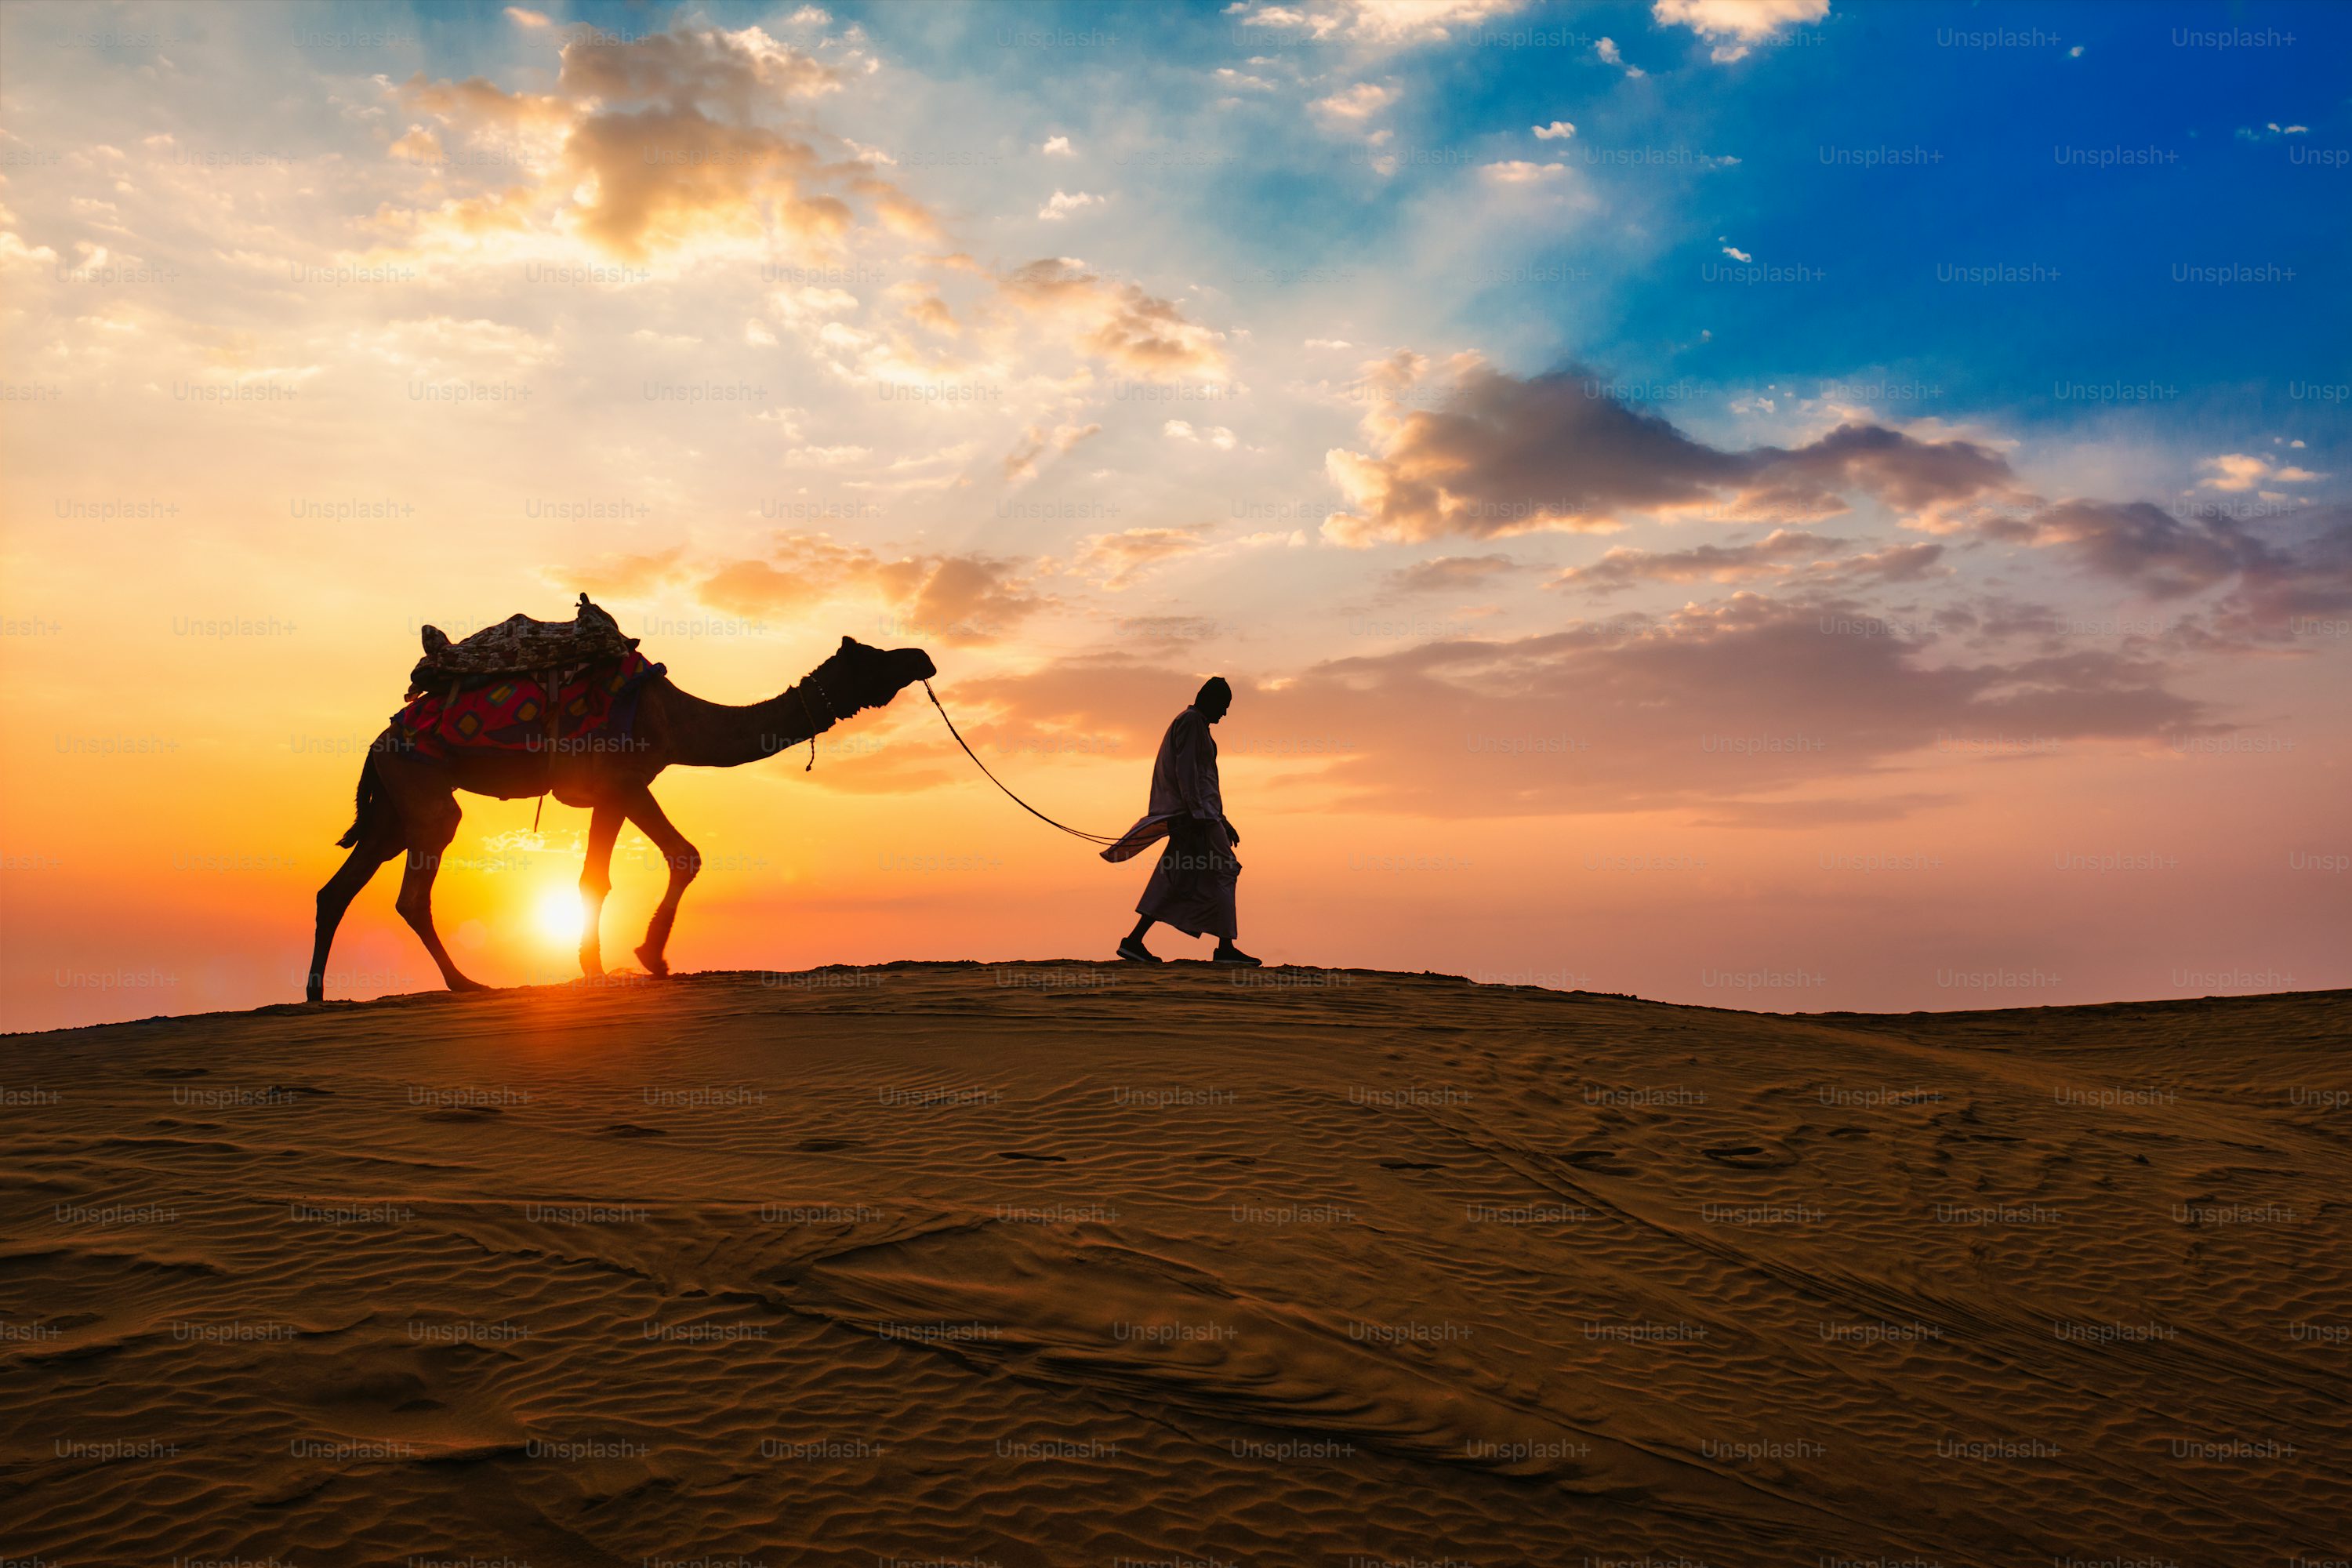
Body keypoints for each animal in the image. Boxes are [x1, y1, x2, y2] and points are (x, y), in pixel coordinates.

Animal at [306, 635, 937, 1002]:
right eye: (876, 656)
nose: (923, 657)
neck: (680, 719)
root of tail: (378, 743)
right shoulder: (625, 779)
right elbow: (672, 858)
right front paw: (643, 957)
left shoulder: (617, 790)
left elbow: (606, 875)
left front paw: (606, 964)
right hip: (423, 788)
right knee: (414, 888)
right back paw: (465, 983)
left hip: (391, 809)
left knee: (337, 890)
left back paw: (315, 993)